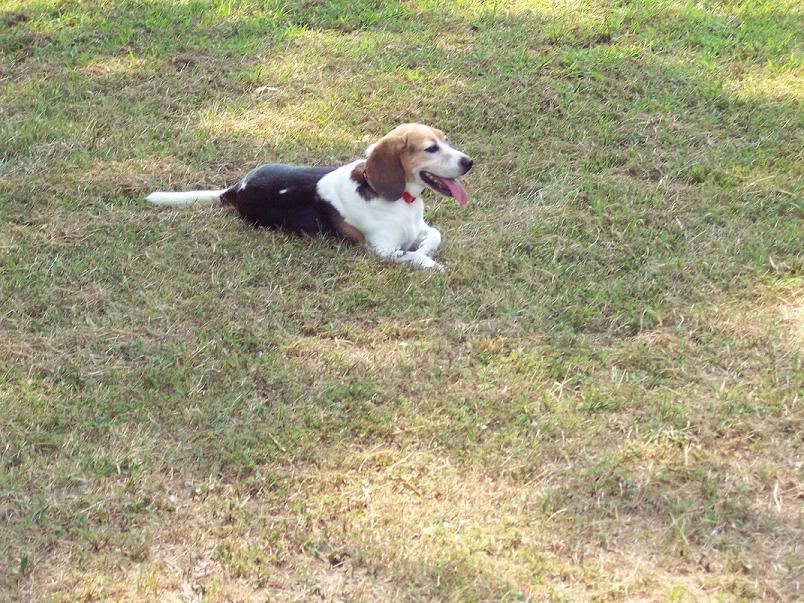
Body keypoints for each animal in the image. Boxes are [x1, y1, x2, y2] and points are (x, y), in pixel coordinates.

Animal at [146, 124, 473, 271]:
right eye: (431, 148)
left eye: (446, 140)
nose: (469, 162)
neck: (403, 201)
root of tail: (235, 189)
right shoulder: (381, 250)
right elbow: (412, 255)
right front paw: (430, 263)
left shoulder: (421, 228)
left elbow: (433, 237)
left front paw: (428, 251)